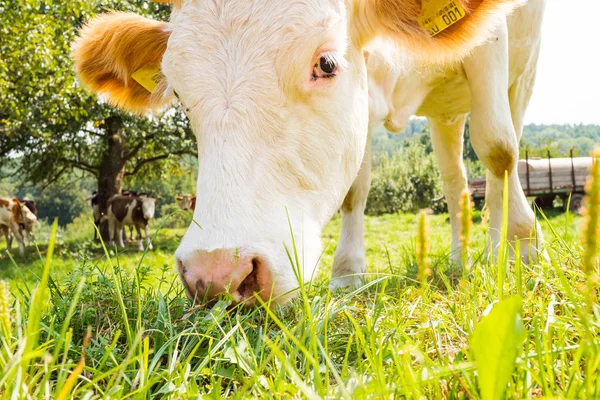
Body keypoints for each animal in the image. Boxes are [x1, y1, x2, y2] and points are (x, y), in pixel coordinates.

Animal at [74, 0, 528, 304]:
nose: (217, 274)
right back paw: (459, 257)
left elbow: (498, 147)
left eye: (326, 63)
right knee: (455, 183)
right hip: (446, 113)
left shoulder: (495, 44)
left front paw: (517, 251)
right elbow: (355, 188)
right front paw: (347, 274)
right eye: (180, 94)